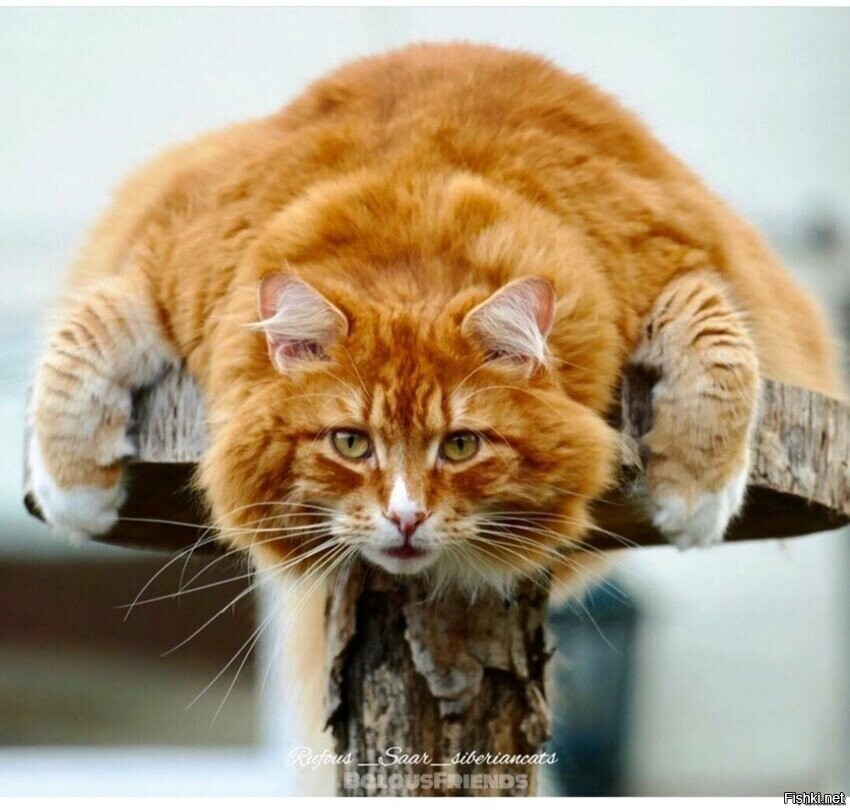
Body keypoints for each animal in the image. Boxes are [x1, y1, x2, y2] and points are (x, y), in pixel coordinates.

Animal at [27, 42, 843, 790]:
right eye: (350, 443)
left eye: (459, 446)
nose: (407, 517)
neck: (412, 221)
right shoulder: (166, 257)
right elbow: (84, 333)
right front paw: (75, 492)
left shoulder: (677, 256)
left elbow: (718, 336)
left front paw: (695, 496)